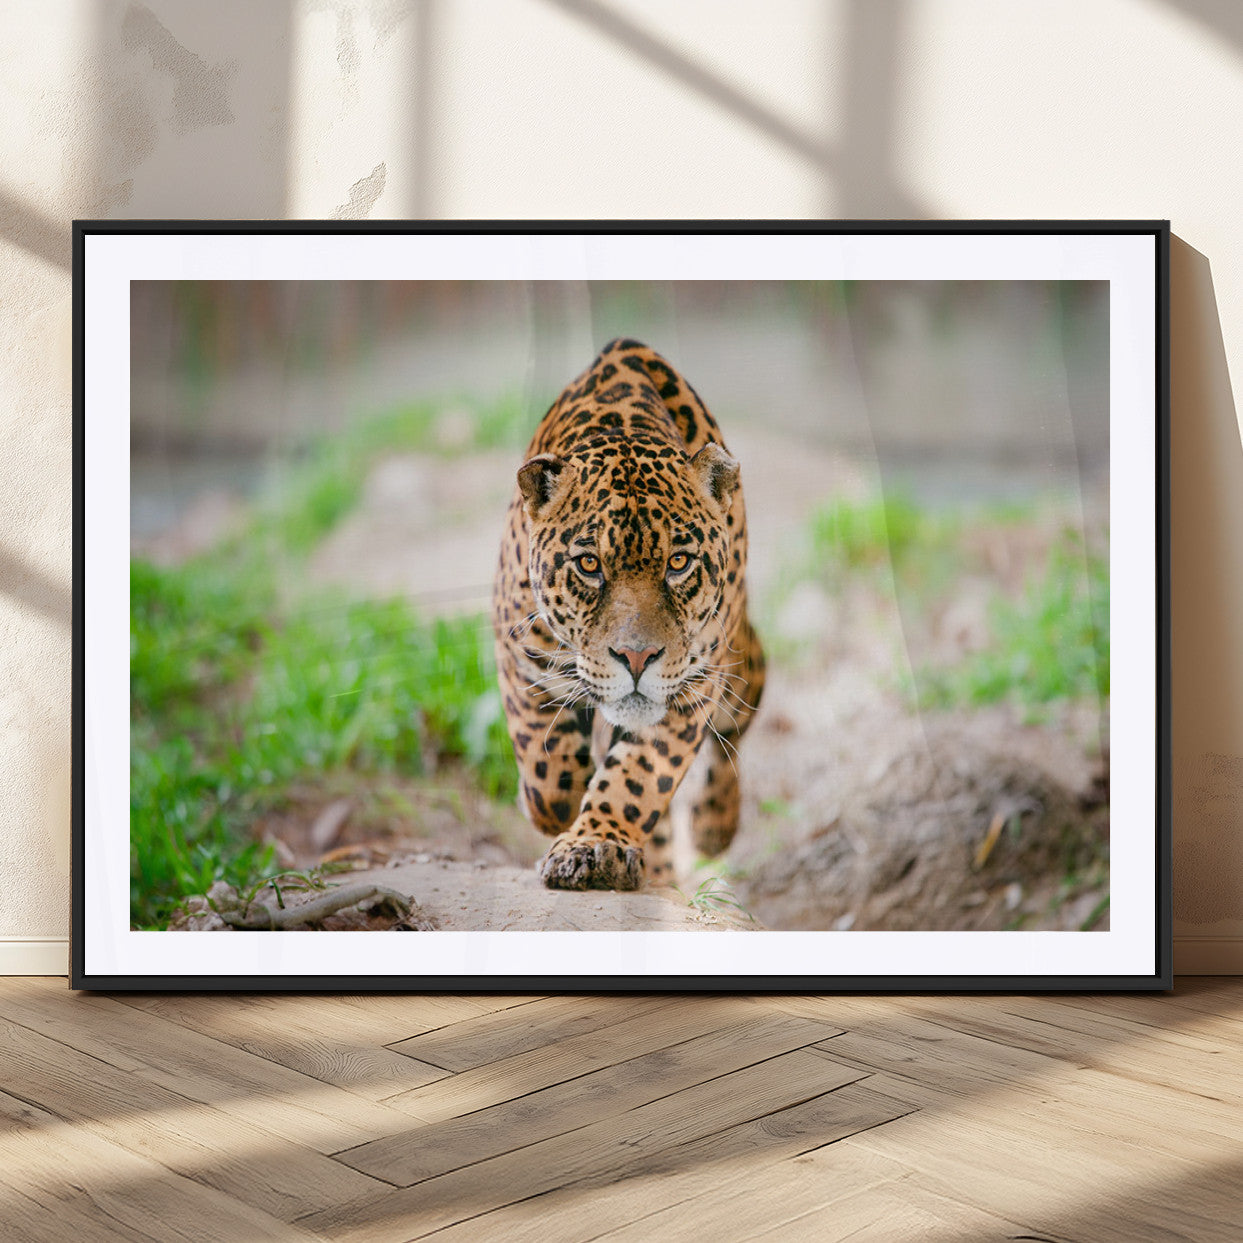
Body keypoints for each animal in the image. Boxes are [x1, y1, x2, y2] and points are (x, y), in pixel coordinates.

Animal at [492, 338, 765, 891]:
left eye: (678, 563)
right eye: (589, 565)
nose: (636, 658)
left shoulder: (691, 686)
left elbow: (637, 777)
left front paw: (594, 845)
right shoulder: (518, 652)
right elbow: (546, 769)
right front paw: (556, 809)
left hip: (739, 666)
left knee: (737, 721)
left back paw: (713, 827)